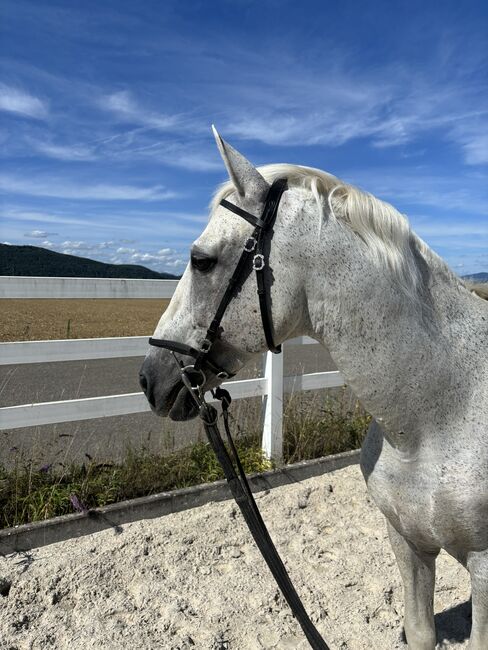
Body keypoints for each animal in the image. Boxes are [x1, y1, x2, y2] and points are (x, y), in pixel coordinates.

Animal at [141, 128, 488, 648]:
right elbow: (420, 631)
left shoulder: (485, 569)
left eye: (200, 261)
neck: (439, 416)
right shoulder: (407, 542)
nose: (150, 378)